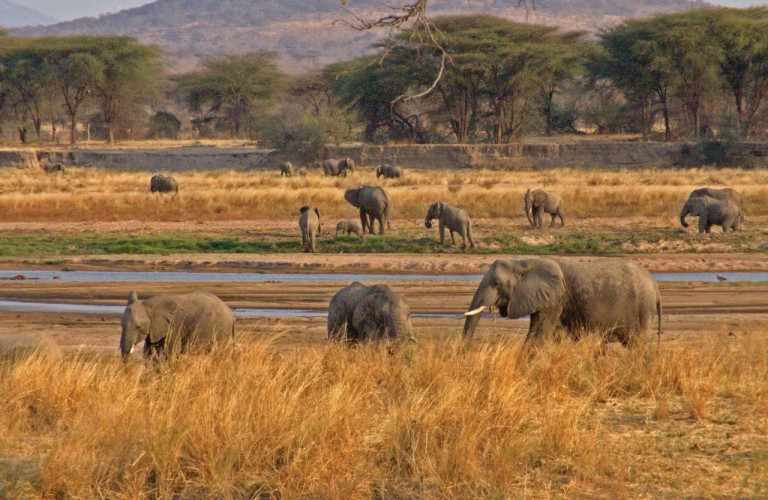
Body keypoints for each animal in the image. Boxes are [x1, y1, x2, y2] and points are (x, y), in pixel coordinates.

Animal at [462, 258, 660, 348]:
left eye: (496, 283)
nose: (463, 354)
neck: (524, 262)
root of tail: (654, 285)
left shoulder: (554, 299)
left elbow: (538, 333)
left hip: (640, 309)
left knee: (635, 344)